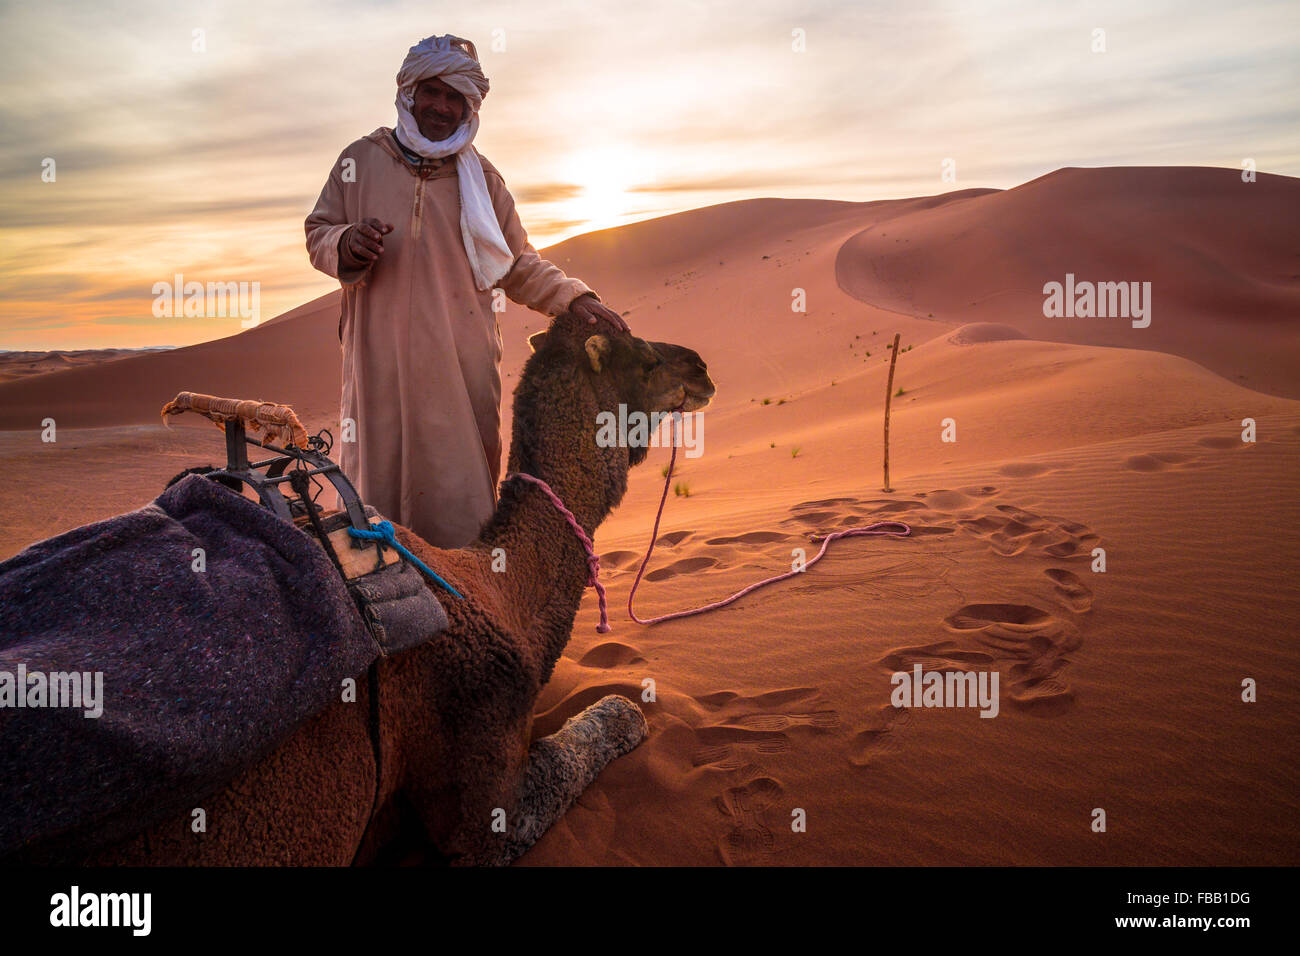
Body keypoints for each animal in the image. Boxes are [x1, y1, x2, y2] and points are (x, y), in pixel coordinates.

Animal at [15, 312, 717, 868]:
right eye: (646, 358)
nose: (703, 365)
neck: (495, 589)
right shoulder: (480, 756)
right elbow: (602, 728)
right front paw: (630, 711)